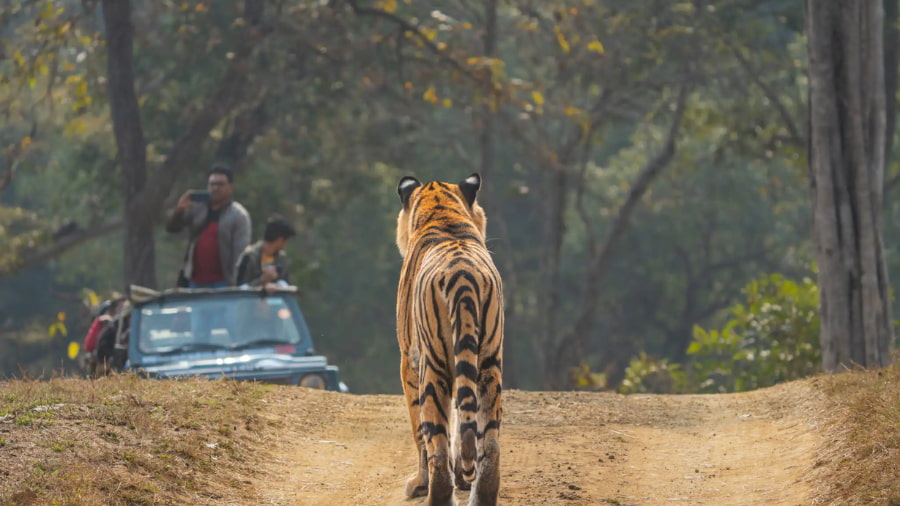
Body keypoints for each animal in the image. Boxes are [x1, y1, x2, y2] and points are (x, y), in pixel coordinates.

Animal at [395, 173, 504, 506]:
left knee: (436, 443)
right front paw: (464, 479)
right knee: (489, 441)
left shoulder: (408, 359)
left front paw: (419, 484)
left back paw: (436, 493)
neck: (442, 212)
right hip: (489, 363)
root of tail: (463, 276)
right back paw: (482, 493)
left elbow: (420, 429)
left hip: (433, 365)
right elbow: (461, 420)